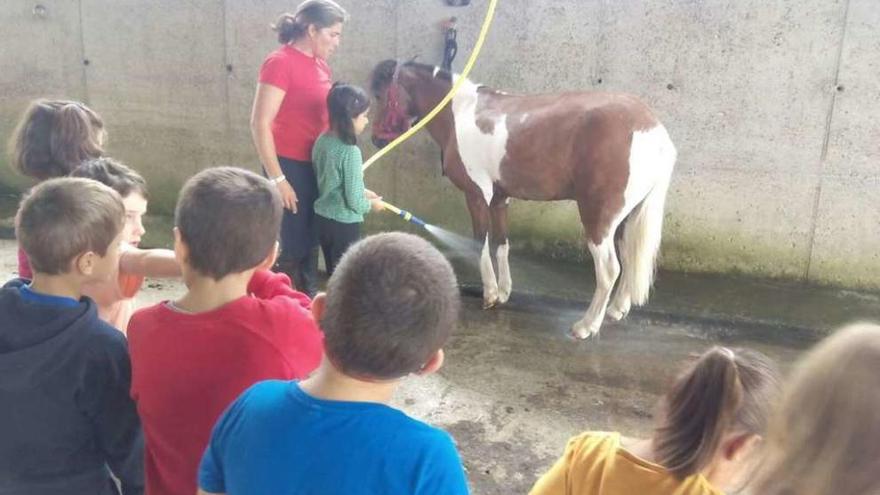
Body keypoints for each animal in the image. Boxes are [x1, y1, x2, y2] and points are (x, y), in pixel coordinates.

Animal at [368, 61, 676, 340]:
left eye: (380, 95)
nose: (375, 140)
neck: (463, 114)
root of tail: (654, 131)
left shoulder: (476, 196)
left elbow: (480, 243)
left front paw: (490, 295)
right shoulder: (499, 199)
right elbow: (501, 244)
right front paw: (504, 292)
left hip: (598, 218)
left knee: (609, 269)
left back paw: (586, 326)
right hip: (626, 216)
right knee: (628, 253)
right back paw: (616, 310)